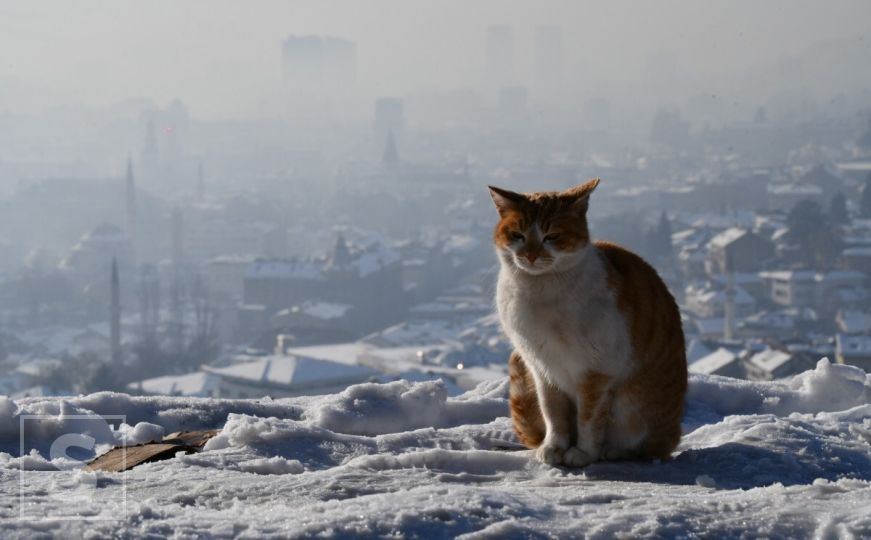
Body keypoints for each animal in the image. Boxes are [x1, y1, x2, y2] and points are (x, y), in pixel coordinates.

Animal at [490, 179, 688, 466]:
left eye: (552, 236)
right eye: (518, 235)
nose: (531, 256)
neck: (541, 290)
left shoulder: (597, 371)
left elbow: (589, 418)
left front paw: (583, 453)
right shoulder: (542, 368)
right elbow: (553, 413)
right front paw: (554, 447)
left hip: (635, 410)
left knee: (647, 446)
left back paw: (613, 450)